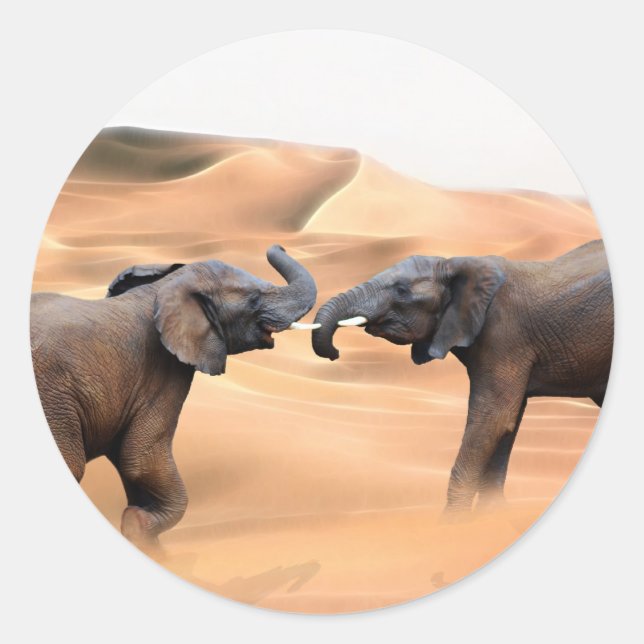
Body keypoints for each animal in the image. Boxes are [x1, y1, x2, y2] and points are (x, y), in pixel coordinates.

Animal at [31, 245, 319, 545]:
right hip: (54, 398)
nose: (279, 246)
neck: (166, 286)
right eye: (254, 299)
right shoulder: (163, 370)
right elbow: (141, 460)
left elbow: (130, 466)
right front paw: (138, 524)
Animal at [312, 240, 613, 513]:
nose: (335, 353)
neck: (454, 265)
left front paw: (452, 525)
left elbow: (493, 418)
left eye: (401, 290)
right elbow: (506, 425)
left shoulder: (504, 334)